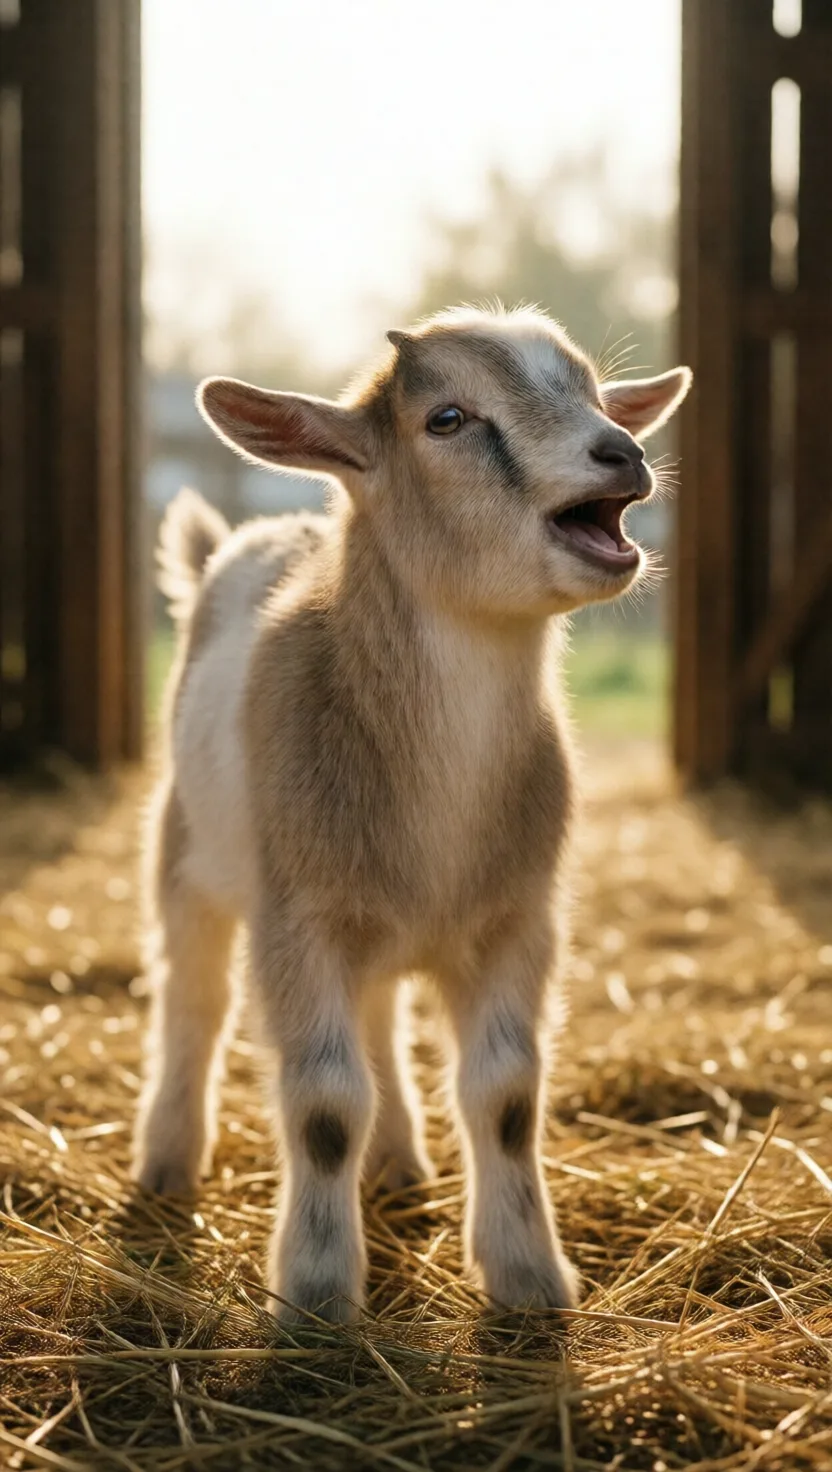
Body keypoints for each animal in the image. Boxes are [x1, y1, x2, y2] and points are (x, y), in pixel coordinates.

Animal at [133, 305, 691, 1322]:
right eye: (447, 418)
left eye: (596, 393)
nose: (621, 452)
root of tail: (256, 534)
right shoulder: (300, 919)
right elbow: (322, 1105)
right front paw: (316, 1295)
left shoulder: (519, 920)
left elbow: (507, 1097)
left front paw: (528, 1279)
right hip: (187, 855)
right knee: (193, 1001)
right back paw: (166, 1161)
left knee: (381, 1018)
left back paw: (396, 1159)